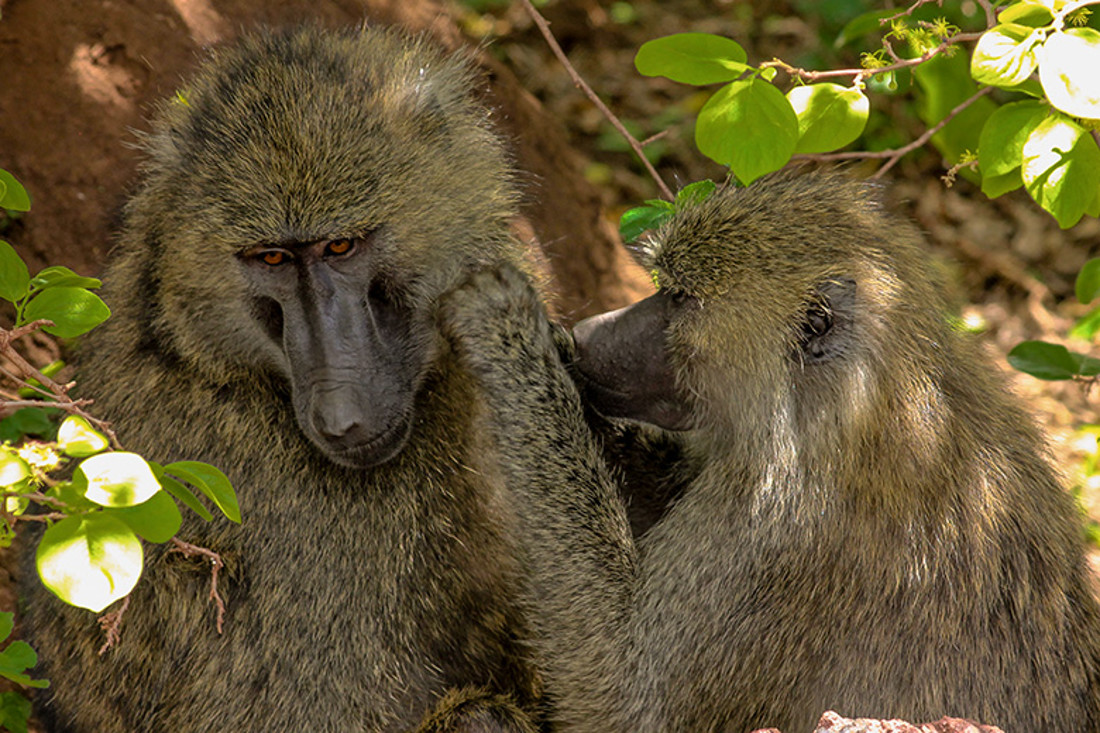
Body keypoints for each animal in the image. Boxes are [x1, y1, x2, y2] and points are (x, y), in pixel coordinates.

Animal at [441, 169, 1100, 732]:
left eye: (680, 299)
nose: (584, 336)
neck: (856, 405)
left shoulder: (769, 527)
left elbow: (623, 699)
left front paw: (511, 333)